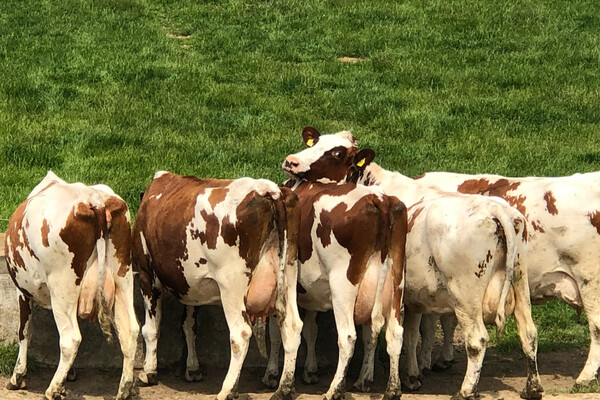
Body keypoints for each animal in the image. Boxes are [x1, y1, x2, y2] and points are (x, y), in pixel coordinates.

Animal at [5, 172, 139, 400]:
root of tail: (94, 198)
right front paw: (69, 376)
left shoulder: (22, 291)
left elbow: (24, 331)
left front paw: (18, 376)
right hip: (123, 276)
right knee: (129, 330)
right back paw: (124, 389)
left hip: (63, 284)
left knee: (71, 338)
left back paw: (52, 390)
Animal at [131, 171, 300, 400]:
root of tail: (268, 190)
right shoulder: (190, 285)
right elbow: (189, 325)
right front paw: (192, 368)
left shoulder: (147, 273)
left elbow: (151, 327)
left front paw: (148, 372)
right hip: (289, 274)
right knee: (292, 326)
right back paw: (284, 387)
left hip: (231, 285)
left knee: (240, 333)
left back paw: (227, 389)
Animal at [262, 179, 408, 400]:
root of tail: (379, 198)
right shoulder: (311, 295)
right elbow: (311, 329)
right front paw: (310, 370)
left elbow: (277, 332)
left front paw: (272, 375)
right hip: (396, 284)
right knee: (394, 333)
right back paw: (391, 389)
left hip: (342, 286)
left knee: (347, 337)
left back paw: (334, 390)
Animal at [282, 128, 544, 400]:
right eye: (315, 142)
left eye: (337, 153)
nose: (291, 162)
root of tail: (495, 210)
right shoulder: (406, 295)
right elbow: (401, 333)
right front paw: (401, 375)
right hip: (520, 283)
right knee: (529, 332)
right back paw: (532, 387)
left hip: (465, 297)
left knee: (477, 340)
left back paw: (465, 391)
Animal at [412, 170, 600, 386]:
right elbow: (444, 321)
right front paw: (443, 359)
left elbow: (427, 325)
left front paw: (424, 364)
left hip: (589, 280)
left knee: (596, 326)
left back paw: (586, 376)